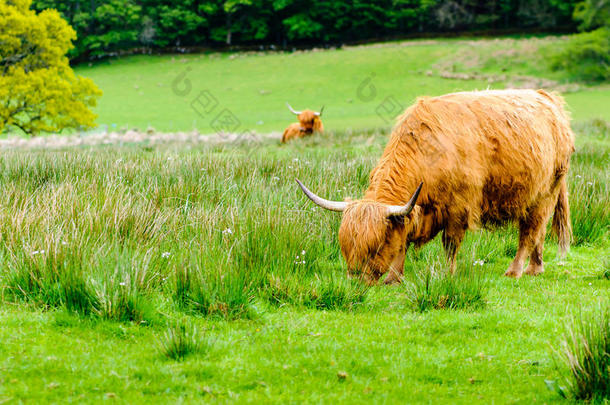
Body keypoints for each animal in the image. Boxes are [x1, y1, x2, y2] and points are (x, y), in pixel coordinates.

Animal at [296, 88, 572, 284]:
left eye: (376, 246)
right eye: (345, 247)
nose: (355, 281)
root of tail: (549, 99)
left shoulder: (458, 208)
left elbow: (450, 244)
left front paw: (447, 273)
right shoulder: (415, 211)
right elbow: (403, 241)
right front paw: (393, 277)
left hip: (544, 193)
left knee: (529, 232)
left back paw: (515, 270)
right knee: (538, 232)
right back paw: (536, 268)